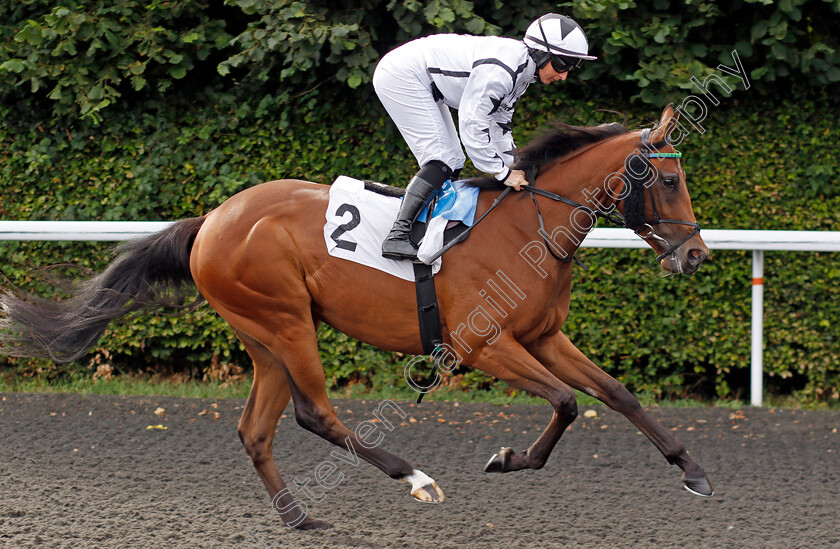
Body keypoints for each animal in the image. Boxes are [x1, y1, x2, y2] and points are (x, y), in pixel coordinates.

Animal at [0, 105, 712, 528]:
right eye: (669, 180)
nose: (697, 255)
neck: (528, 226)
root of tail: (212, 219)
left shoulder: (543, 336)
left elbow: (616, 392)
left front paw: (693, 470)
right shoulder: (485, 344)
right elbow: (566, 402)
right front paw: (508, 459)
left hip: (263, 337)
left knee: (255, 430)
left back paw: (299, 519)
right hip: (287, 321)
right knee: (314, 413)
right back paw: (415, 478)